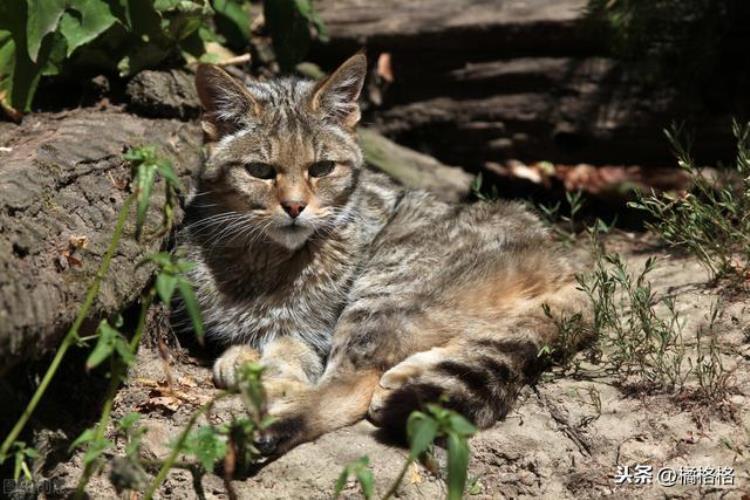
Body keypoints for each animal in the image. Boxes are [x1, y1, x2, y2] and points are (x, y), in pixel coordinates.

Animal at [182, 52, 588, 456]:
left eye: (322, 168)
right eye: (260, 171)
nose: (295, 207)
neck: (264, 256)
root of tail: (560, 260)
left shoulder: (313, 333)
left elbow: (291, 353)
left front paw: (268, 375)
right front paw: (241, 358)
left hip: (382, 287)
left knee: (350, 385)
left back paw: (275, 424)